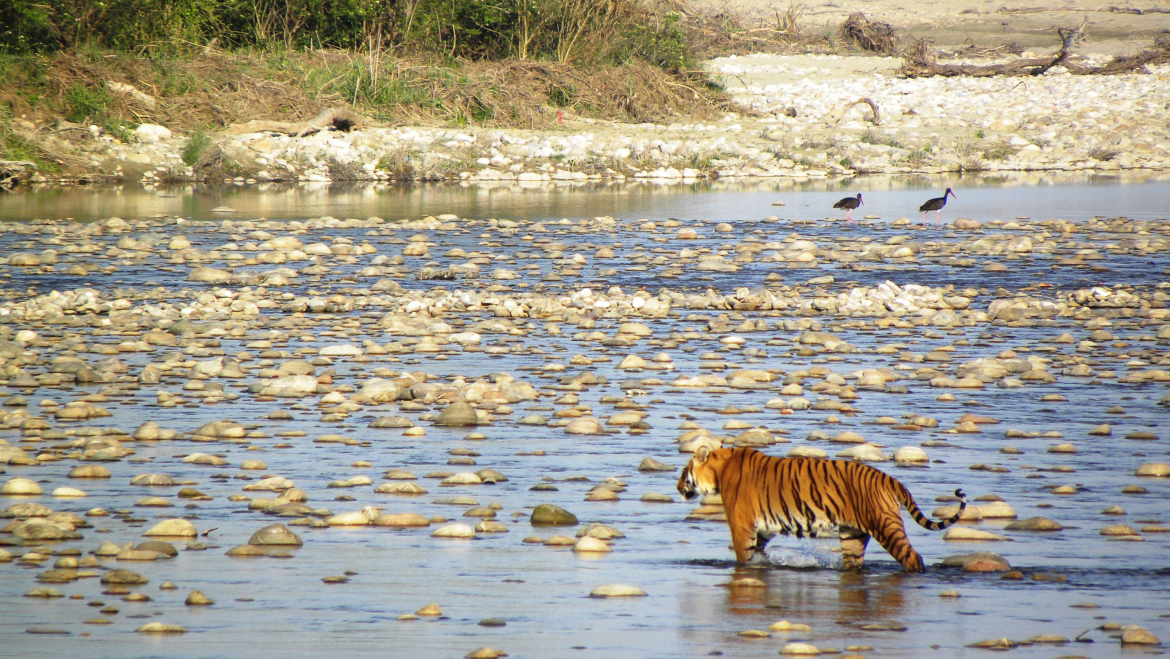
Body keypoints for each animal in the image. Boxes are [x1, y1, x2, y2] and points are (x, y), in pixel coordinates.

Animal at [678, 449, 968, 573]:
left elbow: (743, 557)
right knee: (855, 563)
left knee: (913, 558)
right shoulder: (761, 530)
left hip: (886, 527)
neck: (720, 469)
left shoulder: (742, 527)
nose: (678, 486)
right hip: (852, 535)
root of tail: (888, 478)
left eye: (684, 472)